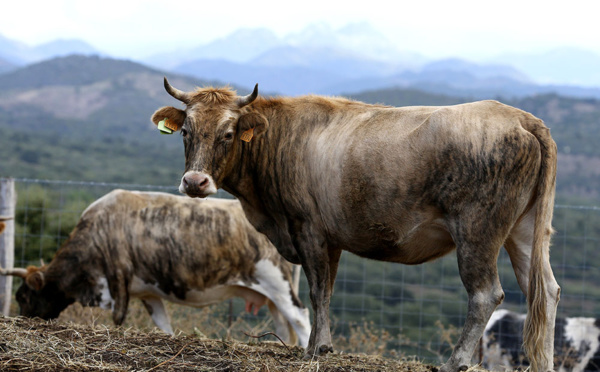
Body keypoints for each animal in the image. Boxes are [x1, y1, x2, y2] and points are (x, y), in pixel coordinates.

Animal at [0, 190, 310, 348]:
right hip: (271, 296)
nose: (22, 320)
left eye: (23, 297)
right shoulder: (148, 292)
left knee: (301, 318)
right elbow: (164, 326)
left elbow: (118, 319)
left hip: (277, 283)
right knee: (284, 326)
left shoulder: (118, 280)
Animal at [151, 79, 564, 372]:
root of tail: (522, 118)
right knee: (544, 292)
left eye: (228, 134)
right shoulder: (329, 240)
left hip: (477, 231)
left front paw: (315, 349)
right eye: (186, 131)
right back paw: (541, 365)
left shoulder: (308, 229)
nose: (195, 182)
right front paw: (320, 345)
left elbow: (318, 292)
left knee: (485, 294)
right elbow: (327, 290)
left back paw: (454, 362)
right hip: (524, 232)